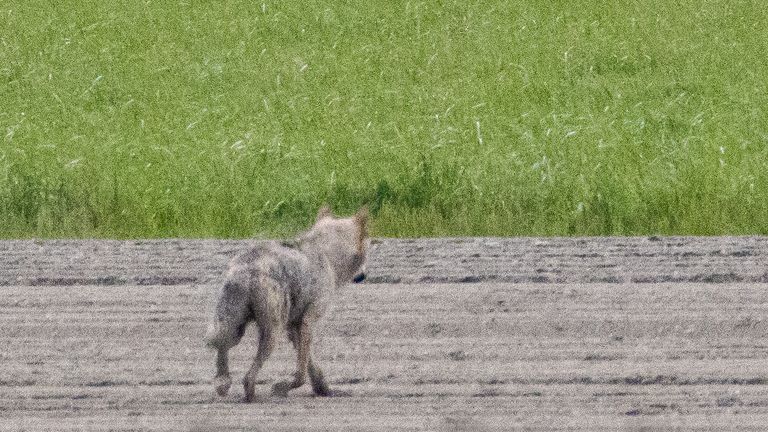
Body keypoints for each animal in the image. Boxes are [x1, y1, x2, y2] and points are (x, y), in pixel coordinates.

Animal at [206, 206, 370, 402]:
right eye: (368, 246)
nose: (363, 276)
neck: (327, 254)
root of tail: (248, 271)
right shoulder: (308, 319)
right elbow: (301, 371)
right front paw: (282, 387)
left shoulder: (294, 323)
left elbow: (309, 363)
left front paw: (324, 389)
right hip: (273, 329)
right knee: (249, 374)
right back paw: (251, 394)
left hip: (233, 325)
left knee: (222, 347)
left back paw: (222, 383)